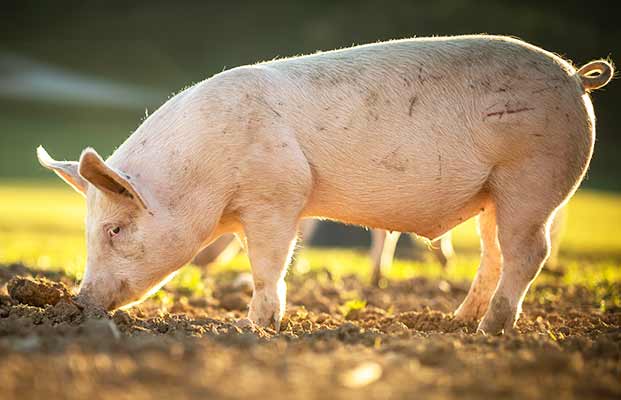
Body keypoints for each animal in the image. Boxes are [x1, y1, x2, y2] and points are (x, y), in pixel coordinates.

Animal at [37, 35, 612, 334]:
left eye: (114, 229)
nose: (80, 303)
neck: (203, 172)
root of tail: (576, 78)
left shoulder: (278, 195)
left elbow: (268, 265)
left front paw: (252, 328)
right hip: (495, 195)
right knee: (493, 255)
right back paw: (456, 321)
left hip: (533, 179)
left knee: (529, 253)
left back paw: (489, 330)